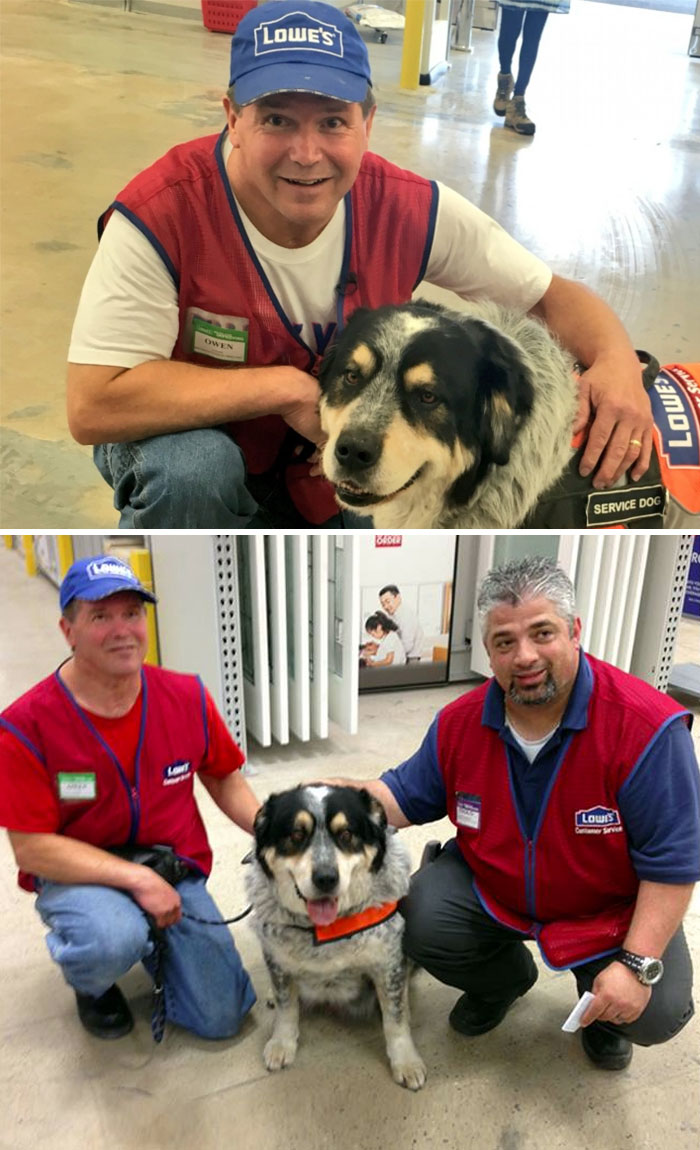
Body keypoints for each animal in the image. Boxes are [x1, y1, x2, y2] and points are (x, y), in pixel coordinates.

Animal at [245, 786, 425, 1090]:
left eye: (347, 834)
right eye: (296, 834)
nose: (326, 878)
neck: (325, 929)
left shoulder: (388, 963)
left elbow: (395, 1019)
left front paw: (406, 1061)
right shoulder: (277, 959)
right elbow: (286, 1007)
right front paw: (281, 1044)